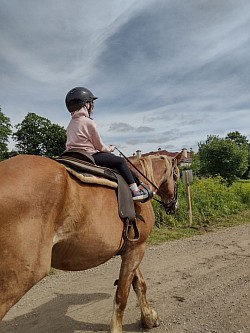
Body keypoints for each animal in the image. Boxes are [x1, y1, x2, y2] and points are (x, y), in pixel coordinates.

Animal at [0, 153, 180, 332]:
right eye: (176, 176)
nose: (174, 205)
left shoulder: (130, 248)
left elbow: (138, 284)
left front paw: (149, 317)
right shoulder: (137, 248)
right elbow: (122, 295)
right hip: (20, 277)